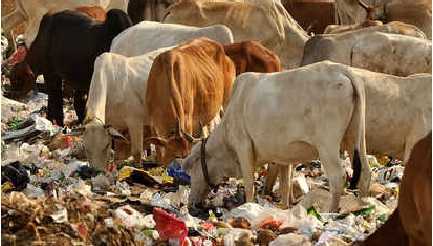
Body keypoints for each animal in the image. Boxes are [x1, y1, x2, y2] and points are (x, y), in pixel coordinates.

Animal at [181, 60, 370, 211]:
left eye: (192, 169)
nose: (191, 203)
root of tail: (340, 69)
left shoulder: (243, 146)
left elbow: (249, 185)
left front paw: (249, 206)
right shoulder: (284, 157)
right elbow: (285, 185)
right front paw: (284, 207)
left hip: (327, 146)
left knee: (338, 177)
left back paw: (331, 212)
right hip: (356, 137)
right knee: (365, 173)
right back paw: (362, 206)